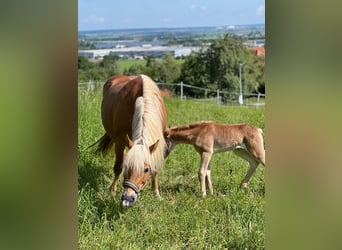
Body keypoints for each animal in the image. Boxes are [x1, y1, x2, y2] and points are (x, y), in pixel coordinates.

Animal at [95, 74, 167, 207]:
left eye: (146, 169)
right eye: (127, 167)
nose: (128, 198)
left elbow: (155, 169)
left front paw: (157, 194)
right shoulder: (120, 141)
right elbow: (118, 167)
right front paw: (112, 192)